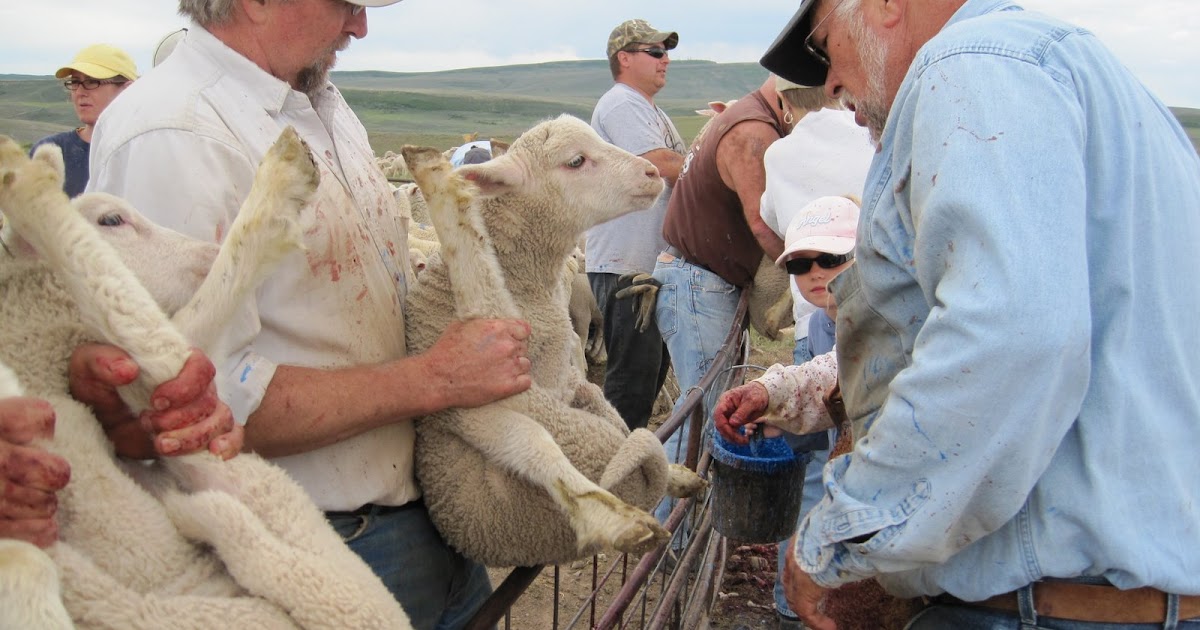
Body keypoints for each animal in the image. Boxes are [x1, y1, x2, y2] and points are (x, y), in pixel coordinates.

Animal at [402, 115, 706, 567]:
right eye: (575, 161)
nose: (652, 173)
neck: (530, 286)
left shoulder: (558, 378)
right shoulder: (468, 407)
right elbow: (535, 447)